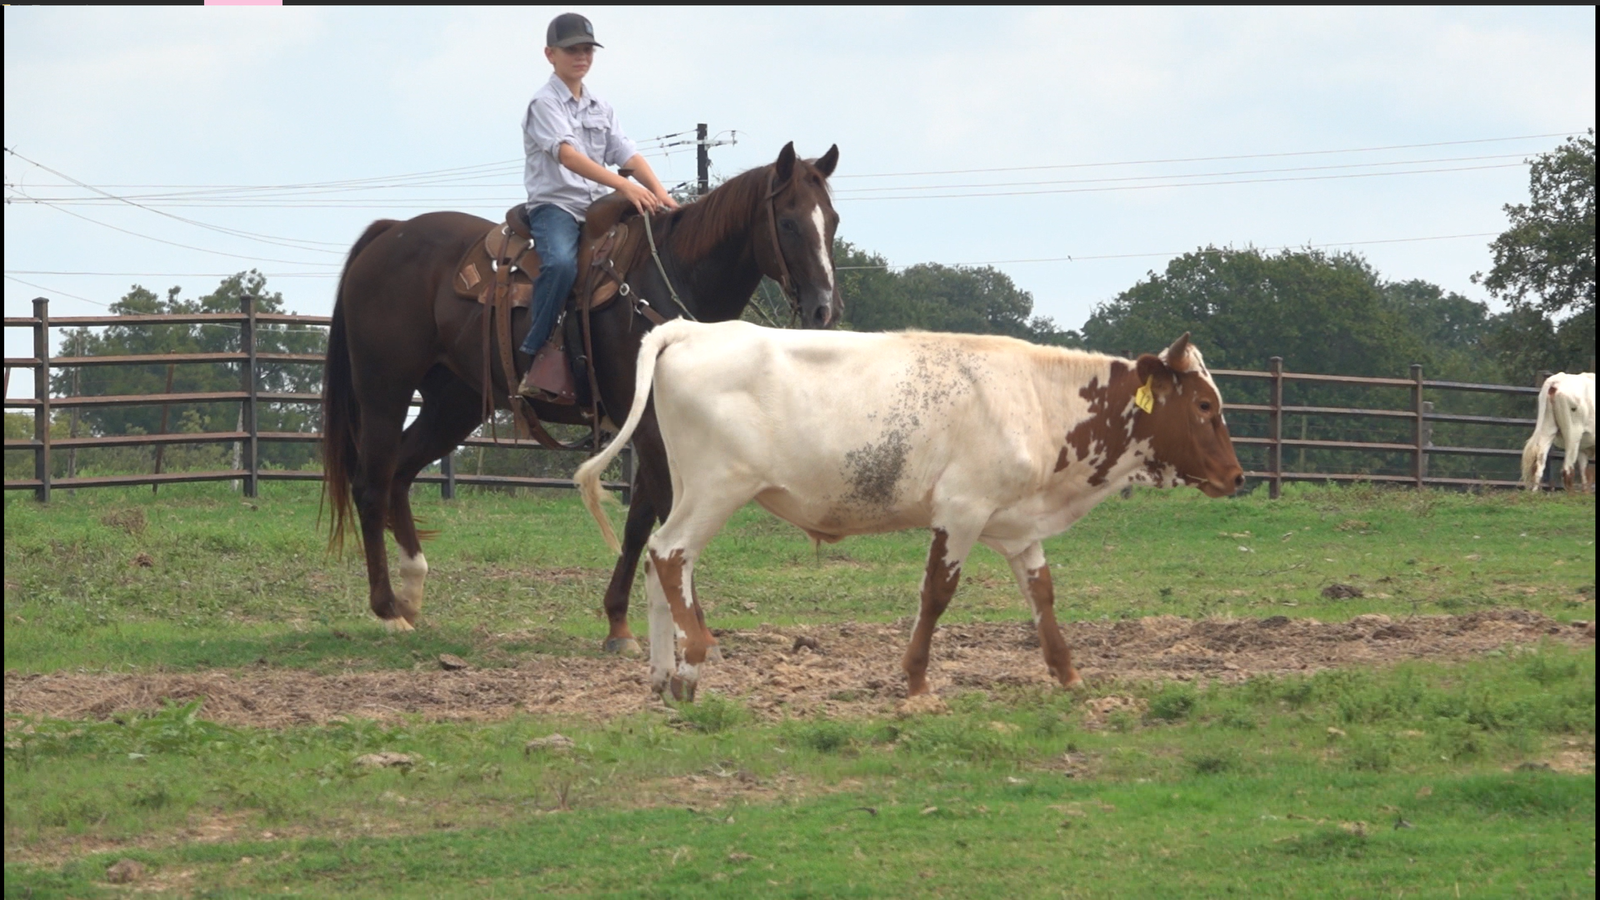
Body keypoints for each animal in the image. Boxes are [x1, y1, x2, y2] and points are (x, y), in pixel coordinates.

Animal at [321, 142, 841, 646]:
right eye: (789, 222)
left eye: (833, 220)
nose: (823, 309)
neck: (669, 284)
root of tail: (391, 233)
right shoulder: (648, 427)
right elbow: (669, 522)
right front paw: (689, 627)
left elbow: (639, 523)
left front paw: (619, 625)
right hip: (384, 392)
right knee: (371, 486)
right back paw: (387, 610)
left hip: (453, 405)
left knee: (401, 475)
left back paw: (411, 593)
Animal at [574, 321, 1245, 702]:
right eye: (1205, 406)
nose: (1237, 477)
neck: (1037, 400)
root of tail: (691, 328)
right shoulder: (961, 511)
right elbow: (937, 595)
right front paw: (918, 682)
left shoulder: (1017, 526)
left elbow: (1043, 596)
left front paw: (1069, 676)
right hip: (718, 488)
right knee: (671, 554)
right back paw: (690, 669)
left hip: (686, 484)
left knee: (661, 564)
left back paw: (662, 676)